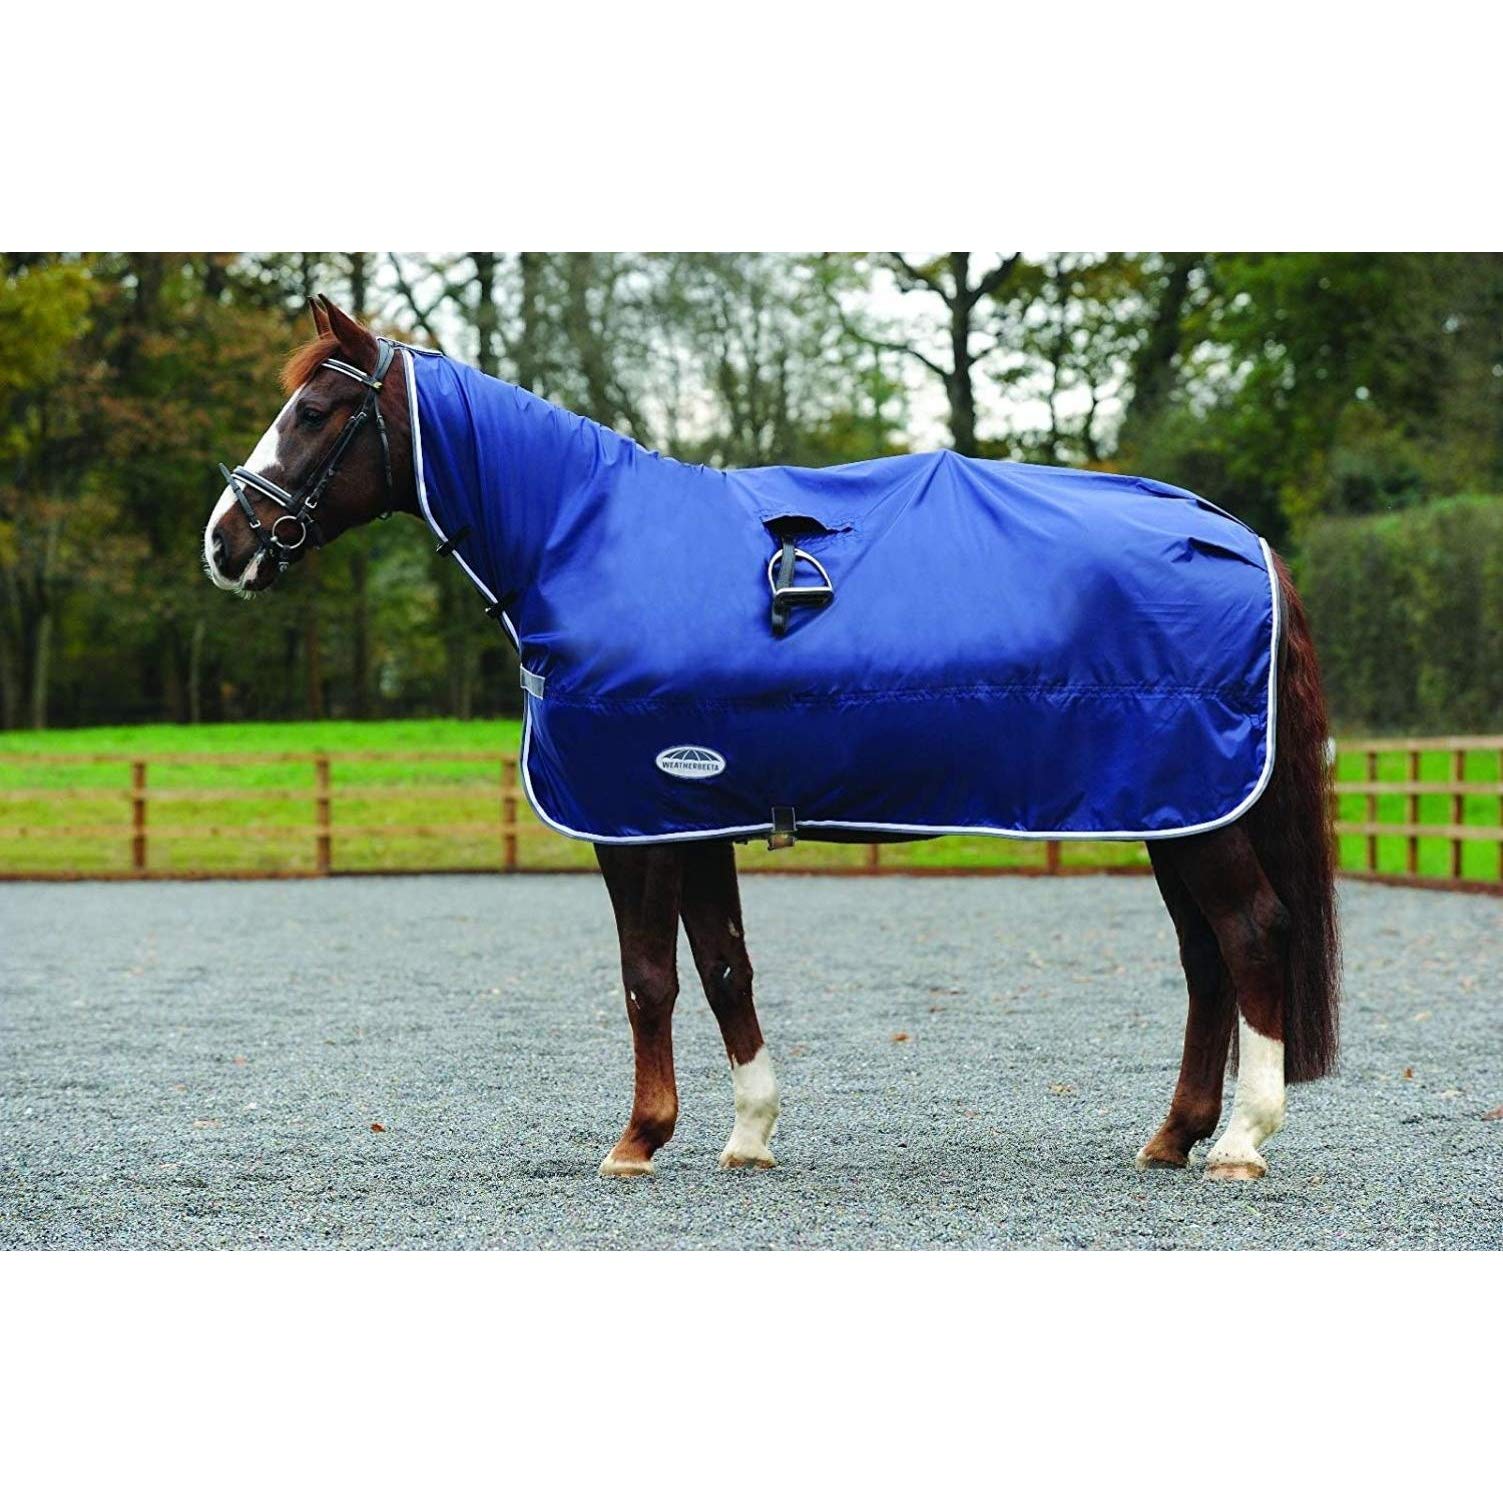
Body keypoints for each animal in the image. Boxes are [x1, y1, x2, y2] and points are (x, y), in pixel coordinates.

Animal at [204, 295, 1340, 1182]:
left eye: (315, 412)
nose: (225, 543)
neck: (583, 540)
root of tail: (1237, 536)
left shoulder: (635, 822)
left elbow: (648, 978)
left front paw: (637, 1139)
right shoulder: (695, 812)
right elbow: (723, 968)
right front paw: (748, 1132)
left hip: (1197, 813)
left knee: (1250, 934)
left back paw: (1241, 1141)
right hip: (1173, 808)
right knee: (1203, 956)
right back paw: (1173, 1134)